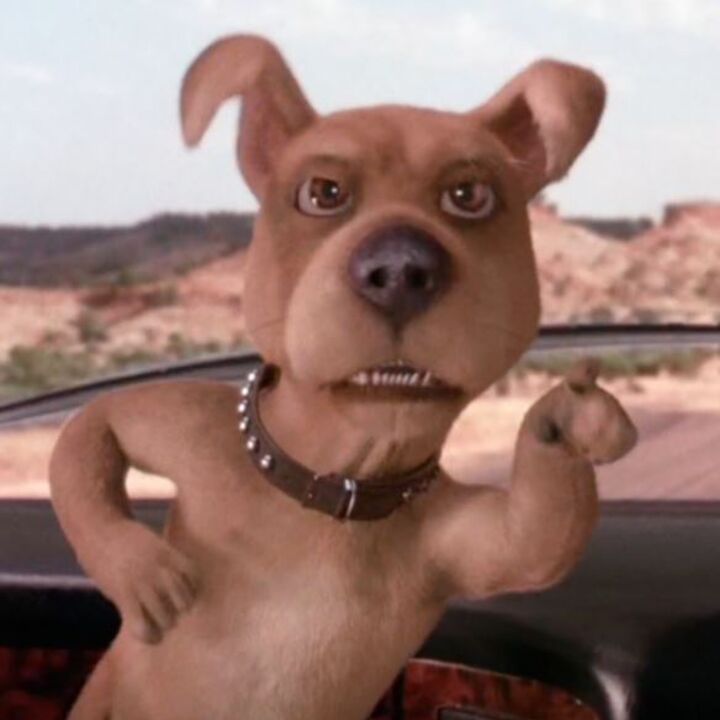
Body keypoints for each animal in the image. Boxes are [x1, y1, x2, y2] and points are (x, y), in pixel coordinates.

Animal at [49, 35, 636, 720]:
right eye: (322, 193)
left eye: (470, 196)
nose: (401, 267)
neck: (334, 484)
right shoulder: (195, 435)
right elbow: (93, 429)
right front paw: (139, 569)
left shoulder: (454, 538)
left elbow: (533, 537)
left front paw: (570, 418)